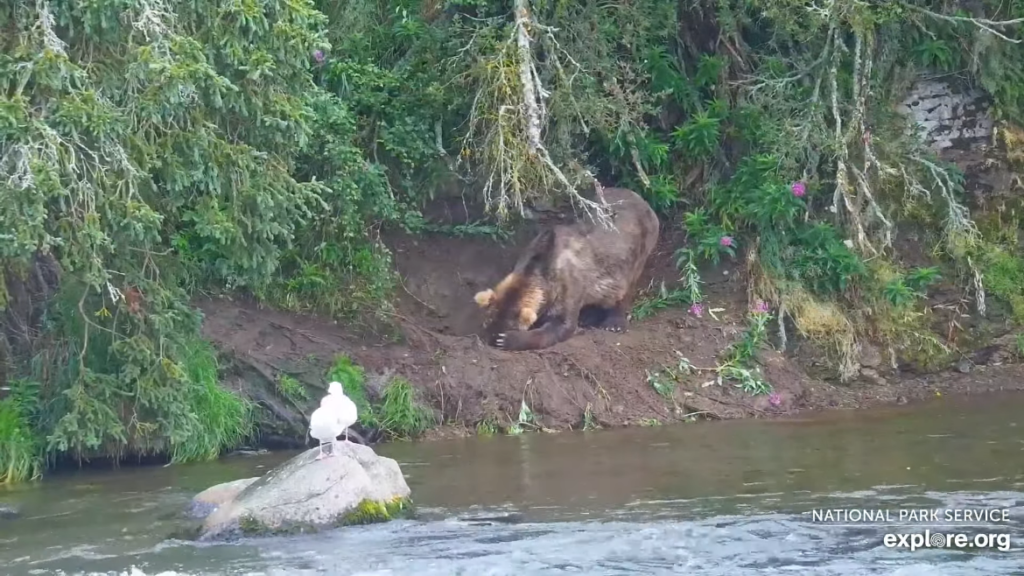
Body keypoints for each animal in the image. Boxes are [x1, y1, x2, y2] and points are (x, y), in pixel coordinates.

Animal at [473, 187, 659, 350]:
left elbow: (561, 327)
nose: (491, 340)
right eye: (487, 322)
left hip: (639, 252)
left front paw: (509, 340)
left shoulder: (569, 287)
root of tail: (641, 198)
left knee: (626, 287)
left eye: (507, 329)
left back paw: (614, 322)